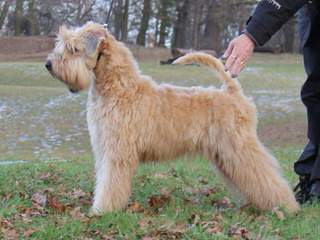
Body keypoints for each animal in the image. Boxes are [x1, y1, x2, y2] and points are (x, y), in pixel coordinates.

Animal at [46, 22, 298, 216]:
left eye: (73, 47)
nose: (48, 64)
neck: (119, 87)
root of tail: (232, 92)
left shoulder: (117, 152)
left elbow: (110, 184)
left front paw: (102, 211)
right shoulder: (103, 148)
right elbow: (103, 180)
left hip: (239, 147)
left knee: (265, 175)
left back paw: (286, 206)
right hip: (225, 154)